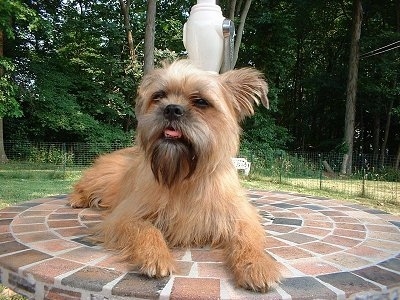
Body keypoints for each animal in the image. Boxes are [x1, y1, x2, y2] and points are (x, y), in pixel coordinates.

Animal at [69, 59, 282, 292]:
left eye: (201, 101)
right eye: (159, 96)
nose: (171, 108)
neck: (183, 176)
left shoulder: (241, 217)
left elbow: (246, 237)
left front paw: (256, 263)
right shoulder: (124, 217)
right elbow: (146, 229)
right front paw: (155, 255)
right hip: (105, 179)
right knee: (82, 186)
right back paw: (77, 199)